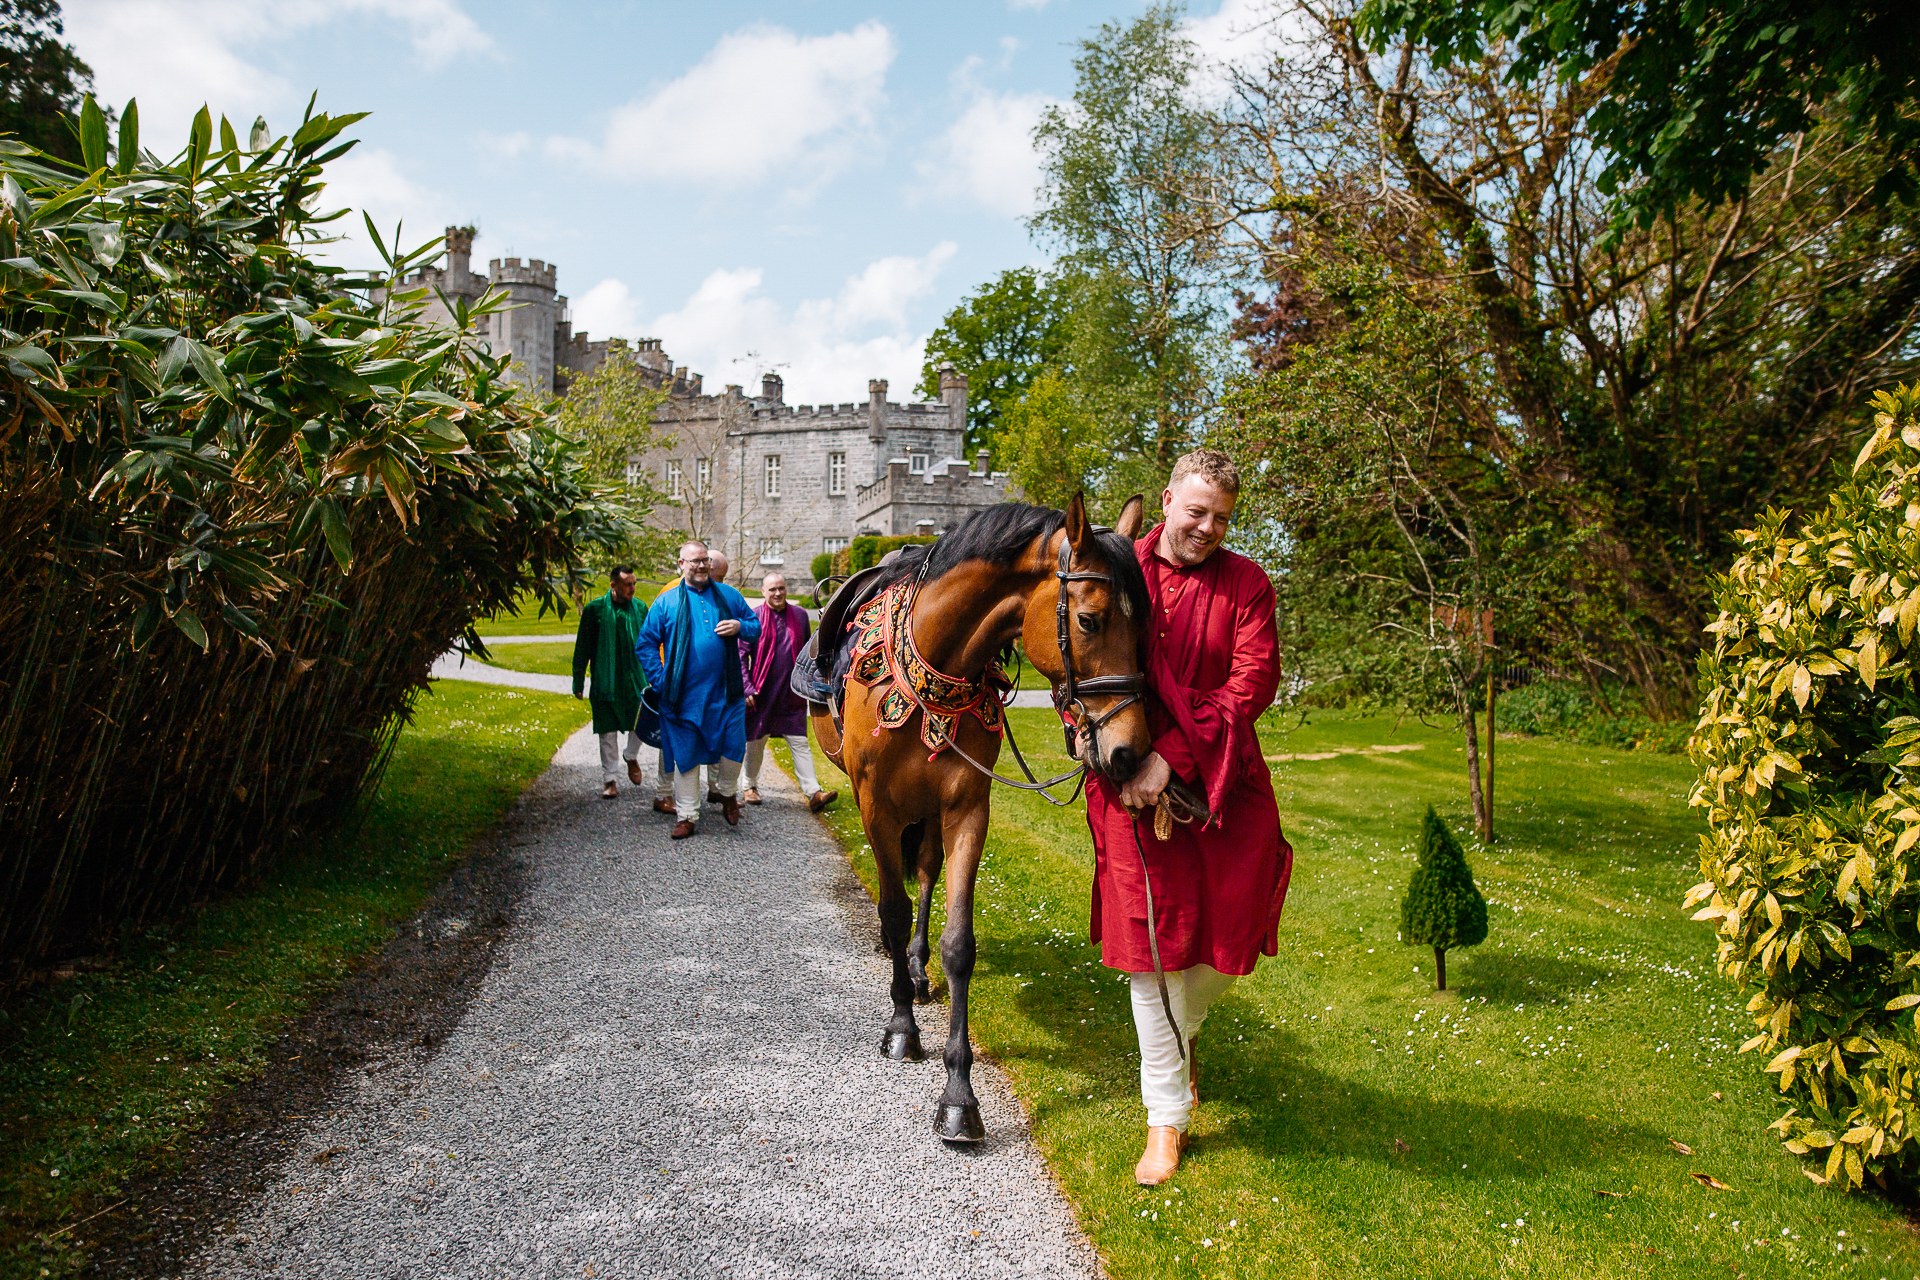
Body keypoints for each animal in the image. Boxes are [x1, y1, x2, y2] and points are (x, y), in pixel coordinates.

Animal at [802, 495, 1144, 1143]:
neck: (936, 658)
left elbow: (957, 940)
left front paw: (959, 1093)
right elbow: (891, 912)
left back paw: (917, 968)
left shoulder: (966, 806)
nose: (1129, 751)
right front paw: (901, 1027)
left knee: (927, 873)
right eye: (1090, 620)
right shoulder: (875, 804)